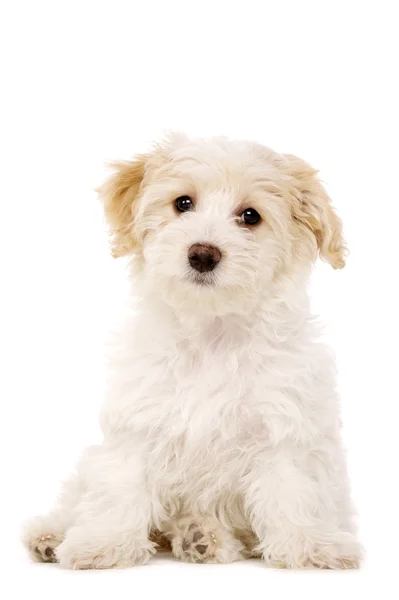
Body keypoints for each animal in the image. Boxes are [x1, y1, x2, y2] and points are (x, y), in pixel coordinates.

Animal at [23, 134, 364, 568]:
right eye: (183, 203)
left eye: (250, 216)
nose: (203, 253)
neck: (212, 334)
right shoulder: (138, 422)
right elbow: (119, 487)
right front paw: (102, 542)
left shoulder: (284, 428)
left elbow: (293, 489)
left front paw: (311, 544)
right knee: (77, 497)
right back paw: (50, 535)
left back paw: (200, 536)